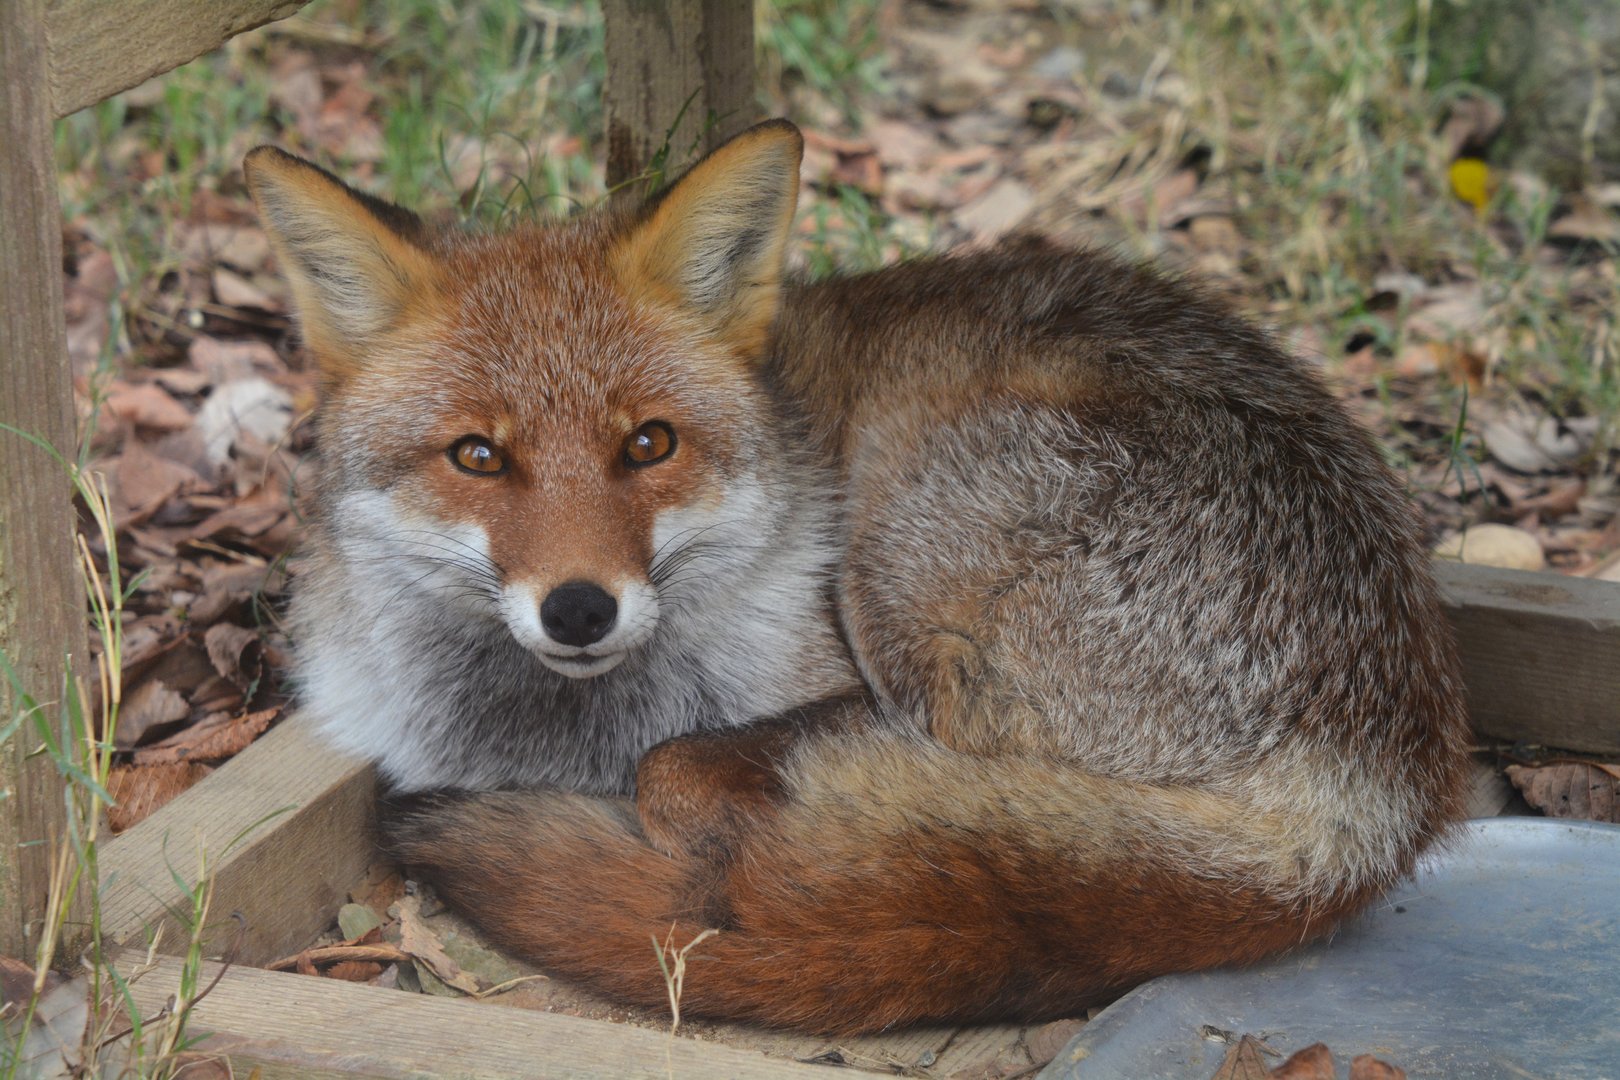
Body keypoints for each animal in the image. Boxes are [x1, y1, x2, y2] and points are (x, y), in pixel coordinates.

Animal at [243, 119, 1470, 1034]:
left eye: (649, 444)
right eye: (477, 457)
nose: (581, 608)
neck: (547, 738)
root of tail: (1380, 791)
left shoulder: (835, 694)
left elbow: (676, 770)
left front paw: (725, 854)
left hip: (907, 573)